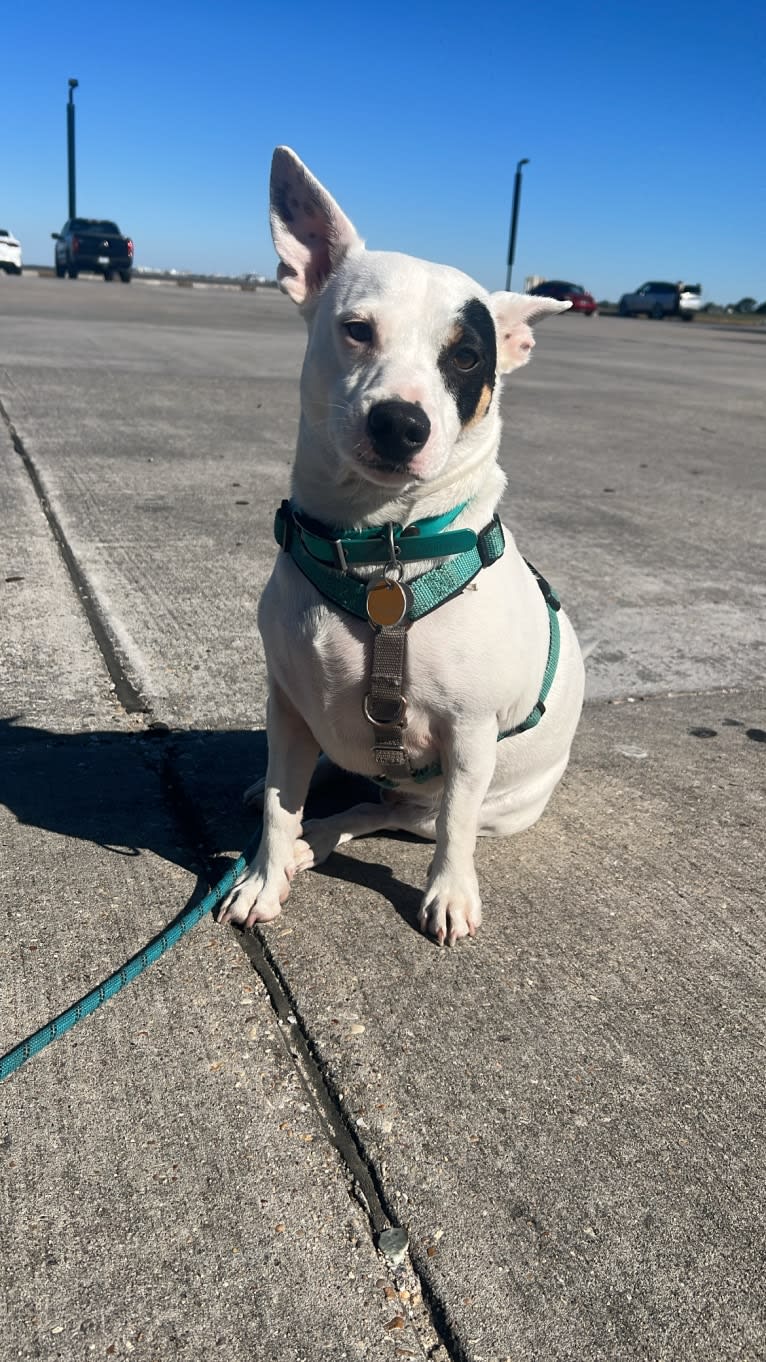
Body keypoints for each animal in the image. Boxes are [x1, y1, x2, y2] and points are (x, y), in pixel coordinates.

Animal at [218, 143, 580, 942]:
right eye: (357, 328)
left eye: (468, 357)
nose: (400, 424)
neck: (378, 546)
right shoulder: (287, 704)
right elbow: (280, 803)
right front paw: (262, 875)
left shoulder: (469, 738)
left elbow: (453, 827)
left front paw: (450, 892)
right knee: (339, 785)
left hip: (488, 799)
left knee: (389, 811)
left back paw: (325, 837)